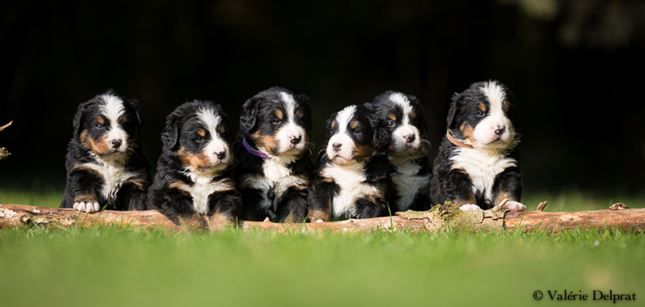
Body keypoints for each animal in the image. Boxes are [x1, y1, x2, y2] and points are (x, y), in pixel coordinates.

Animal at [428, 80, 524, 212]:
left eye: (507, 112)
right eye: (480, 113)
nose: (500, 129)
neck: (484, 151)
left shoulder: (508, 169)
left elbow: (507, 189)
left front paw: (511, 204)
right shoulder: (455, 169)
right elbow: (462, 192)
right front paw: (468, 207)